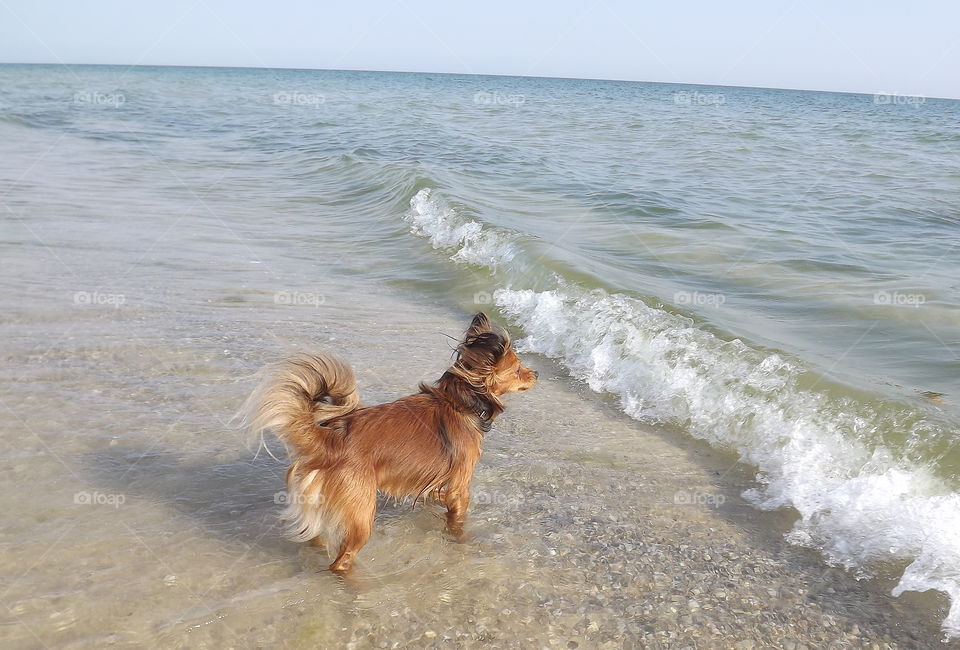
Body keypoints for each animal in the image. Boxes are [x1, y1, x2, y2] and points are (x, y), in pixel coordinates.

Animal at [244, 312, 536, 568]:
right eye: (518, 369)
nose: (537, 374)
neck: (461, 401)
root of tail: (329, 441)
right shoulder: (459, 487)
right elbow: (457, 518)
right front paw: (461, 540)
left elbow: (433, 495)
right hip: (361, 518)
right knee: (341, 561)